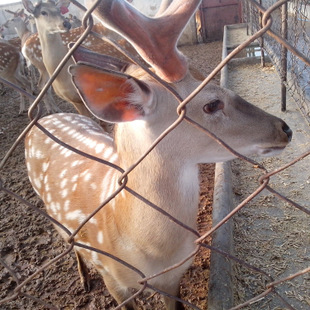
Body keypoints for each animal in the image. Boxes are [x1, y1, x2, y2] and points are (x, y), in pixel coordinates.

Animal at [24, 0, 294, 310]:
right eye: (212, 104)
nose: (285, 128)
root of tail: (46, 118)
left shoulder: (174, 276)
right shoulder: (113, 279)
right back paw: (83, 278)